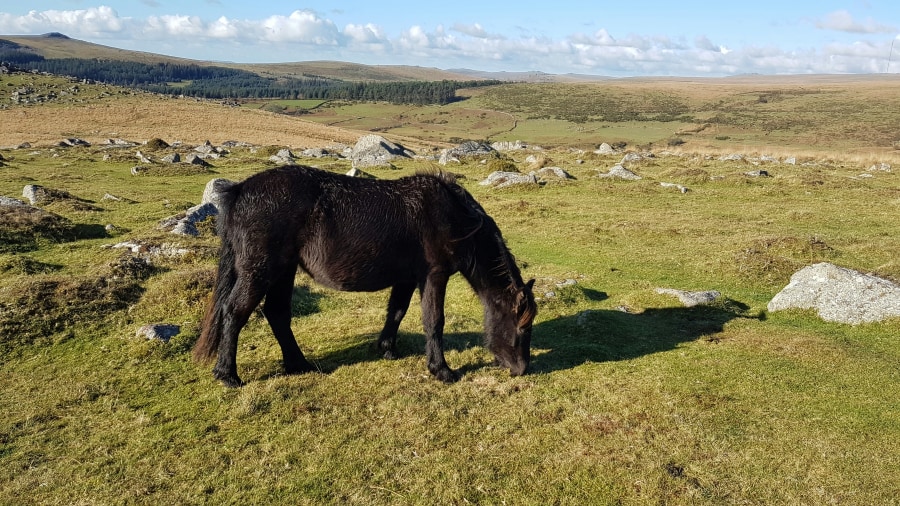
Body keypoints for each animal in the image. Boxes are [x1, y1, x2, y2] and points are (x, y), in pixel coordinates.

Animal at [193, 165, 537, 387]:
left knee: (277, 313)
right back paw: (228, 375)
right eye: (521, 327)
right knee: (235, 312)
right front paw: (442, 371)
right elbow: (434, 321)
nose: (521, 370)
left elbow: (396, 312)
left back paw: (299, 365)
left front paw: (387, 349)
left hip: (283, 270)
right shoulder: (434, 275)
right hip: (261, 270)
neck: (454, 216)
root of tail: (240, 190)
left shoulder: (407, 278)